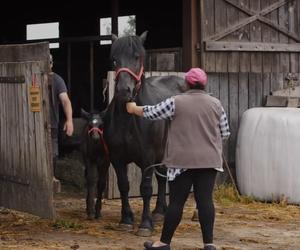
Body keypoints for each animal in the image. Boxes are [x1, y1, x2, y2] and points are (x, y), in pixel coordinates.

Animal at [104, 30, 186, 235]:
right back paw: (159, 212)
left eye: (137, 57)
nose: (123, 91)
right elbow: (124, 186)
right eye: (114, 59)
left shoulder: (147, 157)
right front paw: (126, 219)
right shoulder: (117, 158)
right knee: (163, 176)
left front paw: (145, 224)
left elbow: (146, 188)